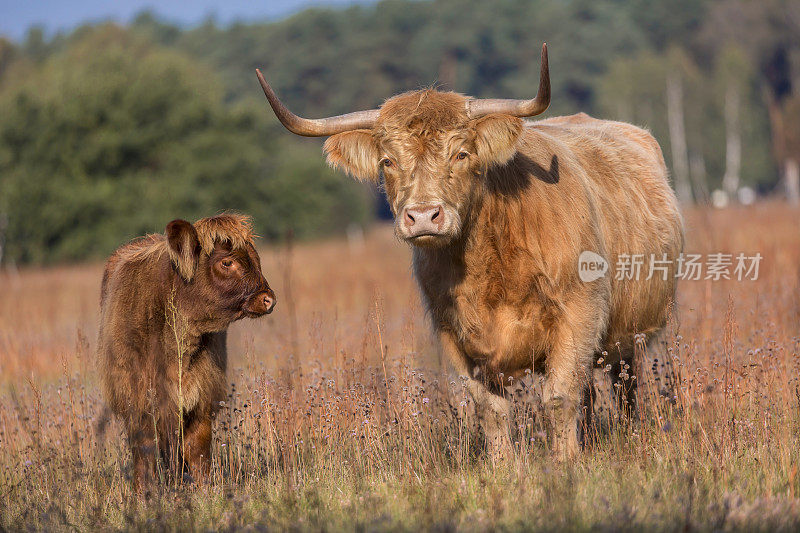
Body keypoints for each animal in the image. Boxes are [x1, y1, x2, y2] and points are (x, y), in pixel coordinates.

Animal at [97, 214, 276, 488]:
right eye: (227, 262)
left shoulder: (202, 398)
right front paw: (144, 492)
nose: (269, 299)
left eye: (256, 258)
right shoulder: (138, 399)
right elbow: (146, 453)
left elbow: (198, 451)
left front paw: (205, 490)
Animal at [260, 44, 684, 458]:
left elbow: (560, 399)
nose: (423, 216)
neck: (488, 266)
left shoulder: (578, 314)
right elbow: (491, 410)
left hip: (638, 330)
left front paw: (566, 463)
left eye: (461, 154)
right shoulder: (454, 334)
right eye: (388, 161)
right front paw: (504, 467)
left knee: (625, 385)